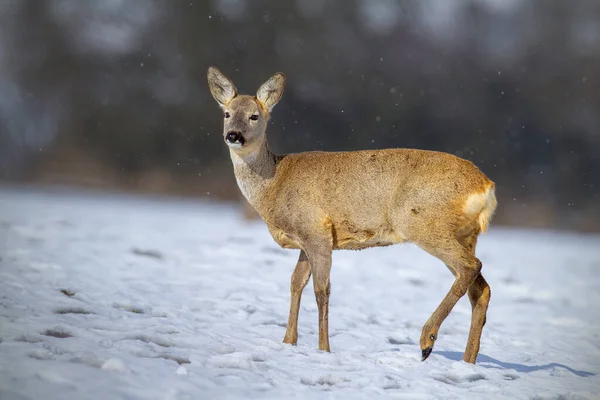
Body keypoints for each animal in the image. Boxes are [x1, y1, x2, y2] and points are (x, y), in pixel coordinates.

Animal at [206, 65, 496, 362]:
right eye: (227, 113)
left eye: (254, 116)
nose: (233, 135)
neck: (275, 183)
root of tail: (485, 186)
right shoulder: (305, 240)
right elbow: (295, 283)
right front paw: (288, 342)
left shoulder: (316, 231)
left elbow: (322, 290)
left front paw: (324, 349)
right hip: (464, 234)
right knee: (480, 288)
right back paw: (467, 361)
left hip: (421, 222)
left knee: (470, 267)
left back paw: (427, 340)